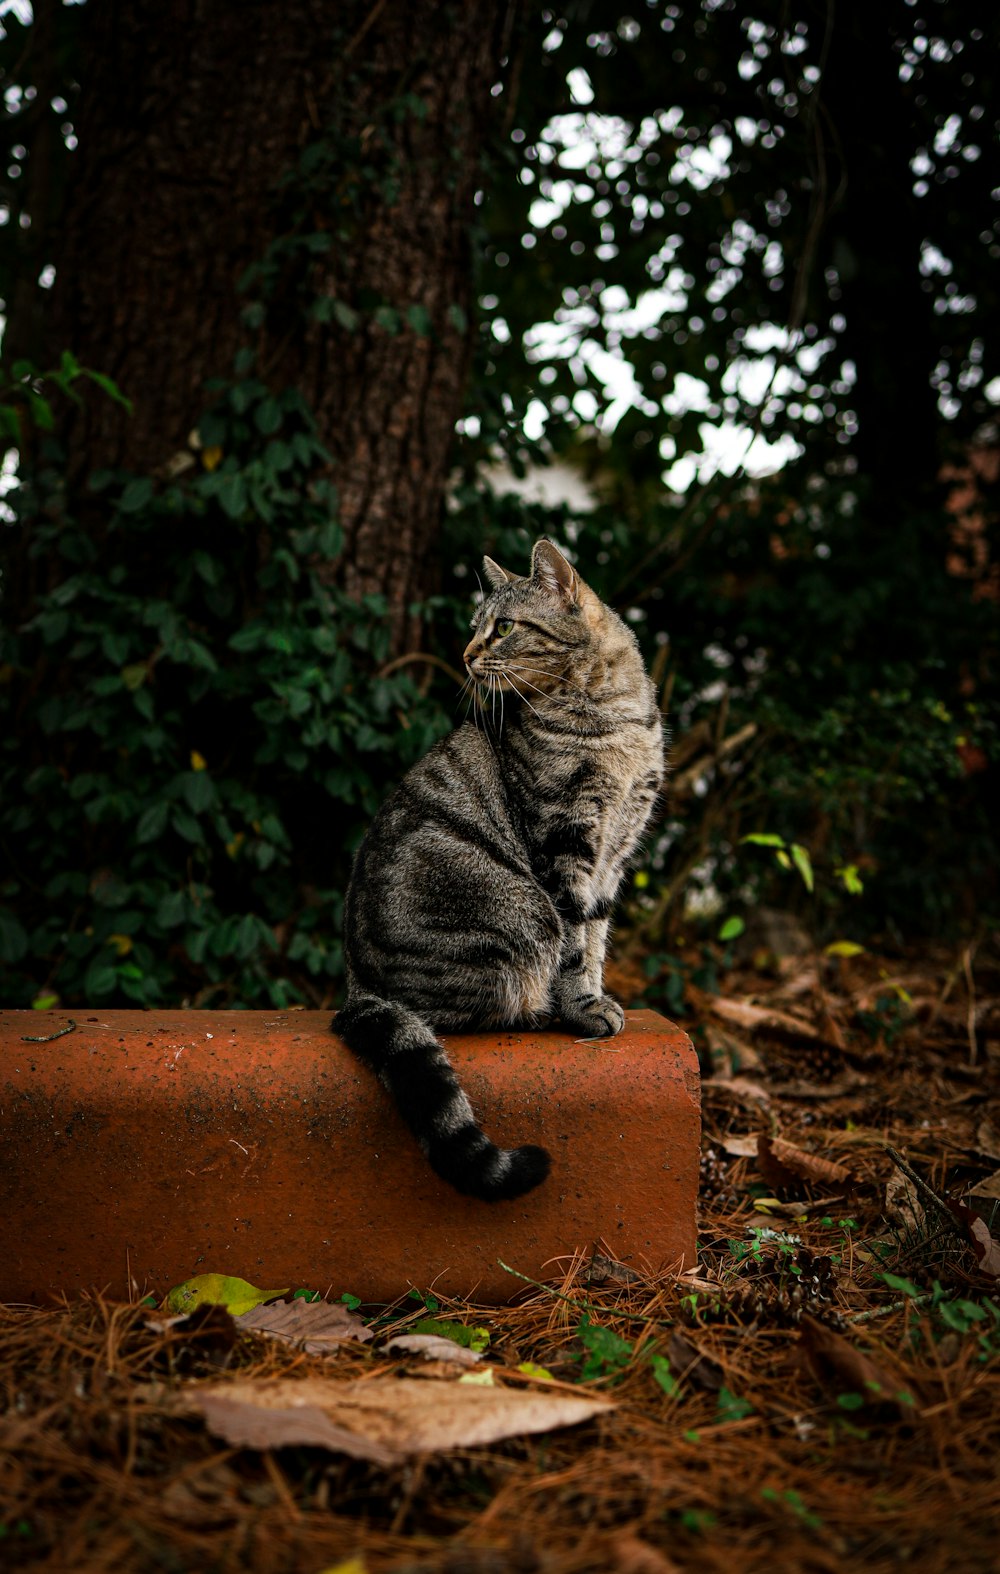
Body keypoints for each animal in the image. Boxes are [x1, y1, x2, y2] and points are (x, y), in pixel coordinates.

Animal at [333, 541, 664, 1202]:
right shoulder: (564, 842)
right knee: (455, 1012)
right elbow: (574, 942)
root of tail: (358, 986)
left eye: (504, 627)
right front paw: (580, 1008)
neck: (610, 713)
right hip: (519, 915)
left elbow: (595, 938)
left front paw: (594, 996)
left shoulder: (614, 855)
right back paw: (536, 1010)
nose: (466, 654)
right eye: (475, 627)